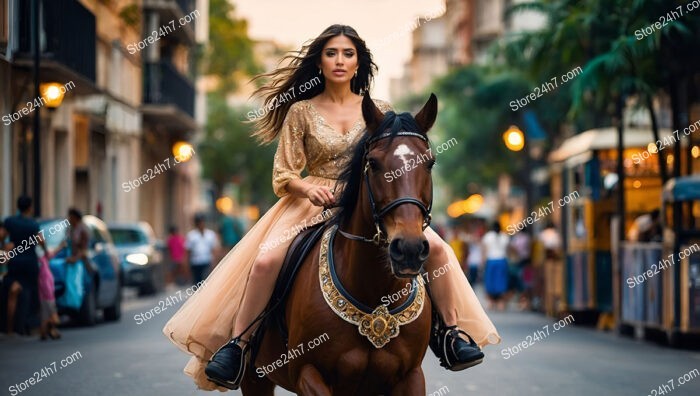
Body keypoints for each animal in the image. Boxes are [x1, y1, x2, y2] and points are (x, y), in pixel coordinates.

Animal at [245, 94, 438, 394]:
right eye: (373, 163)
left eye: (429, 163)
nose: (409, 249)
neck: (375, 295)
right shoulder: (307, 373)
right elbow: (285, 173)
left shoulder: (411, 376)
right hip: (254, 378)